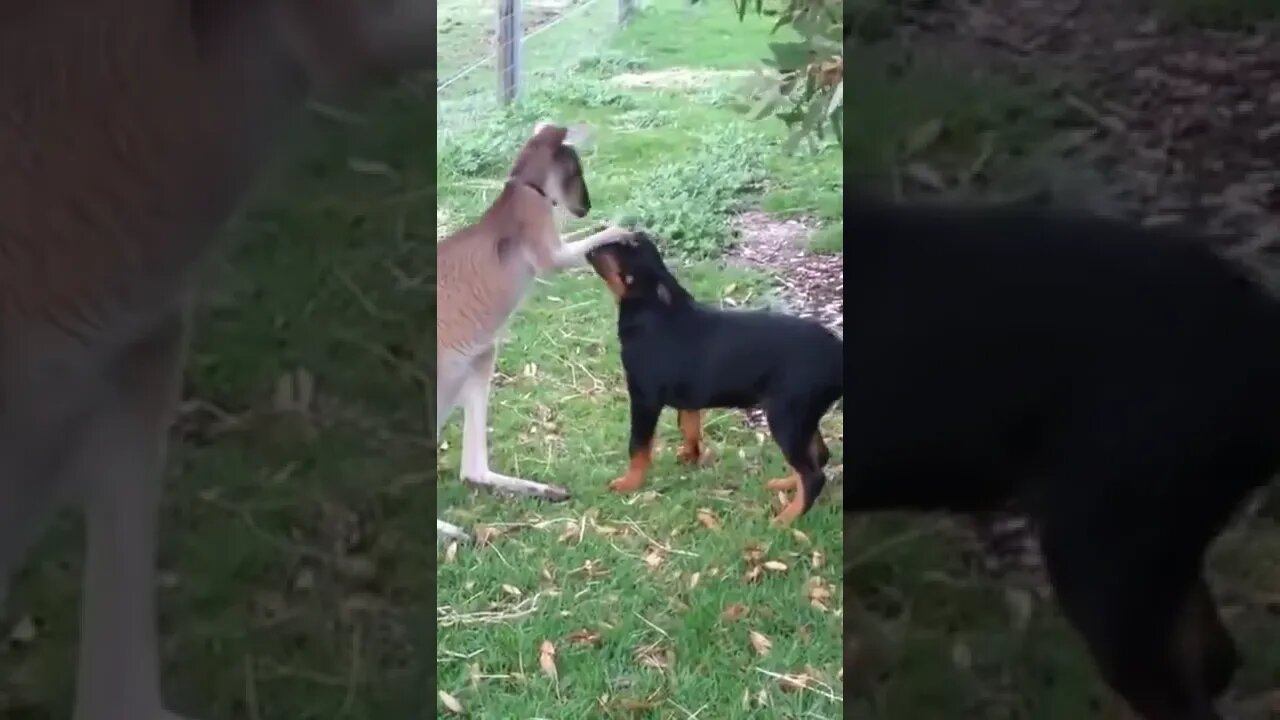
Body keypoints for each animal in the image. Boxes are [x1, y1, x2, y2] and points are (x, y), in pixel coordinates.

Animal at [586, 229, 844, 520]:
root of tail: (838, 353)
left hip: (787, 414)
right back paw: (785, 484)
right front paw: (690, 458)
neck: (657, 310)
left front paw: (629, 483)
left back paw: (786, 518)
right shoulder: (689, 396)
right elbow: (689, 427)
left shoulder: (644, 398)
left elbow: (638, 446)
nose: (590, 248)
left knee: (813, 474)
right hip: (803, 416)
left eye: (622, 247)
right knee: (818, 457)